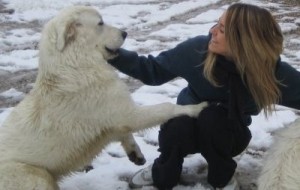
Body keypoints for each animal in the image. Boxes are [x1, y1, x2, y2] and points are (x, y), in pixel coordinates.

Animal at [0, 5, 206, 190]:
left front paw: (135, 153)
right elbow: (165, 107)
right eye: (100, 23)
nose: (125, 33)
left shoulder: (113, 116)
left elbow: (123, 131)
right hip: (35, 176)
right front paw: (196, 108)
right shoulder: (126, 113)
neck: (76, 64)